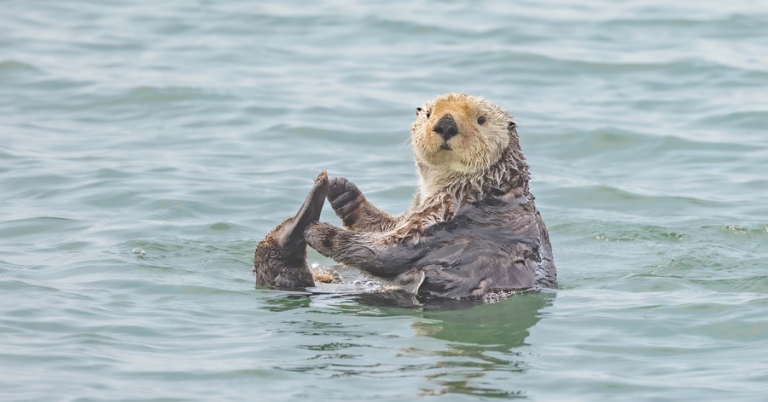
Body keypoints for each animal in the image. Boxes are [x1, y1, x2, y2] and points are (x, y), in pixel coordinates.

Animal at [254, 93, 557, 300]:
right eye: (429, 114)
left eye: (481, 120)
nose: (446, 124)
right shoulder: (417, 210)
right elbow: (385, 226)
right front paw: (344, 192)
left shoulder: (446, 220)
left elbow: (388, 249)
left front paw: (324, 233)